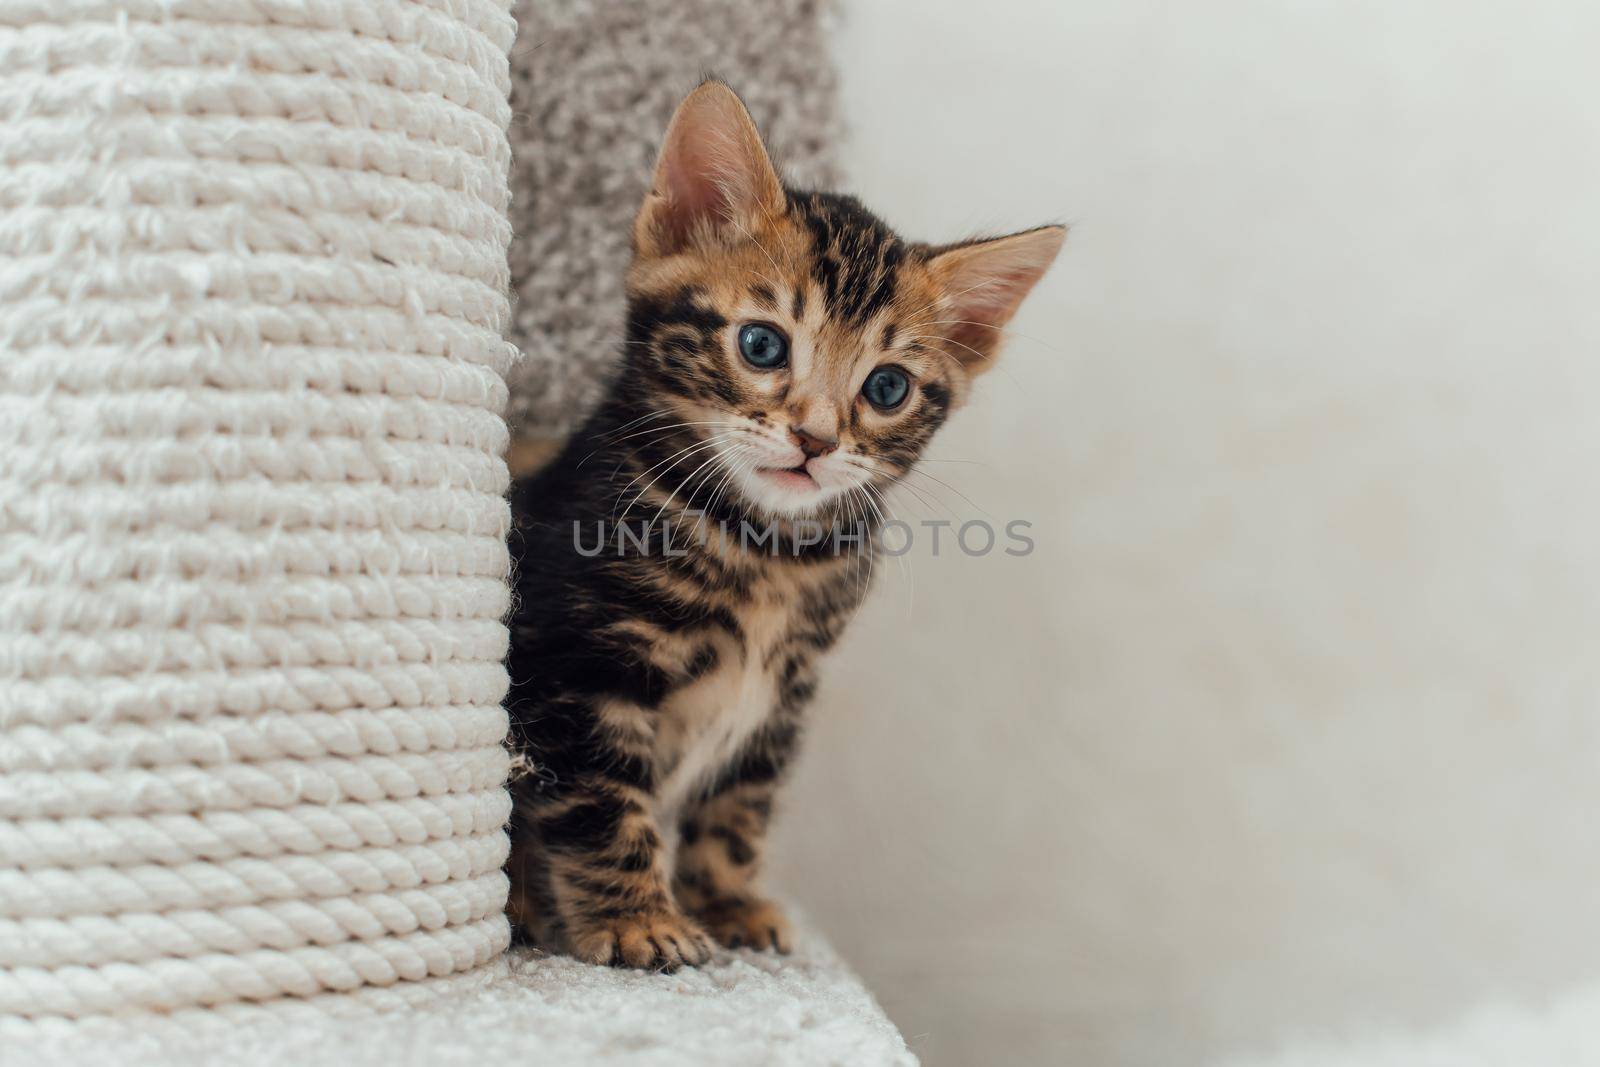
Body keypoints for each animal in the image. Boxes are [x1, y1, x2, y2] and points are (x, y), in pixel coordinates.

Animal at [512, 81, 1062, 966]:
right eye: (763, 345)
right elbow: (602, 802)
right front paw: (640, 919)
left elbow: (739, 808)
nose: (815, 438)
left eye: (886, 388)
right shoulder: (574, 664)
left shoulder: (784, 693)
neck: (765, 549)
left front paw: (728, 902)